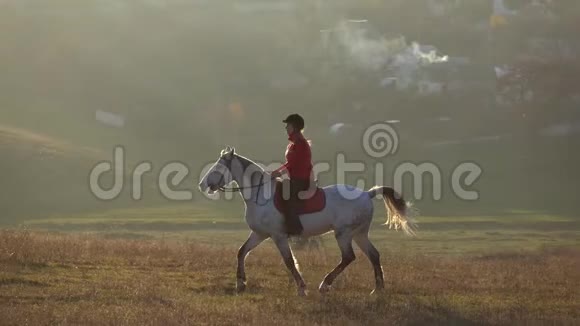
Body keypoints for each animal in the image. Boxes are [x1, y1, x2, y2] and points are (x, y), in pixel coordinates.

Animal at [199, 145, 416, 296]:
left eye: (218, 168)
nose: (202, 185)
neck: (260, 195)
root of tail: (367, 194)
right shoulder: (259, 234)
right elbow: (241, 252)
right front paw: (240, 283)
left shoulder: (278, 236)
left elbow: (289, 261)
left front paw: (302, 288)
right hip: (359, 234)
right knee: (374, 255)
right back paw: (377, 289)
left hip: (344, 234)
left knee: (348, 257)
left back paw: (325, 285)